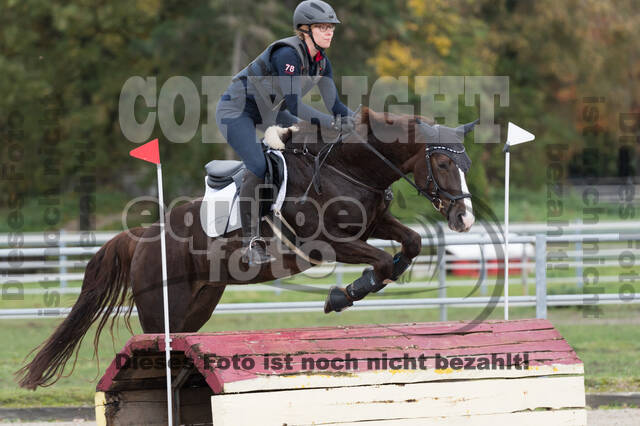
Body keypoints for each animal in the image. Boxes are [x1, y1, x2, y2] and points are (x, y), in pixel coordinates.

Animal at [16, 105, 476, 390]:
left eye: (464, 164)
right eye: (442, 163)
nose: (464, 219)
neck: (346, 168)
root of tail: (141, 235)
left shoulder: (374, 223)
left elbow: (410, 243)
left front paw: (369, 281)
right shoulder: (329, 243)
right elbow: (380, 261)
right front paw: (344, 295)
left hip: (198, 305)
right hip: (160, 308)